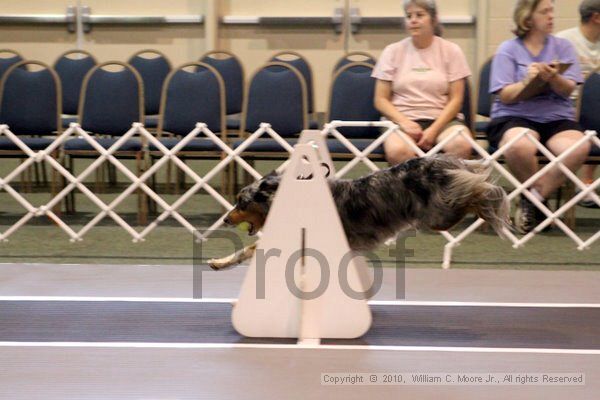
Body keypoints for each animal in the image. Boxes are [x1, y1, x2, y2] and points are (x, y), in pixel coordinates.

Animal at [209, 155, 508, 270]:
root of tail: (446, 160)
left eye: (241, 202)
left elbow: (253, 248)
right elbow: (249, 249)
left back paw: (490, 202)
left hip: (439, 214)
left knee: (478, 189)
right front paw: (220, 262)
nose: (224, 218)